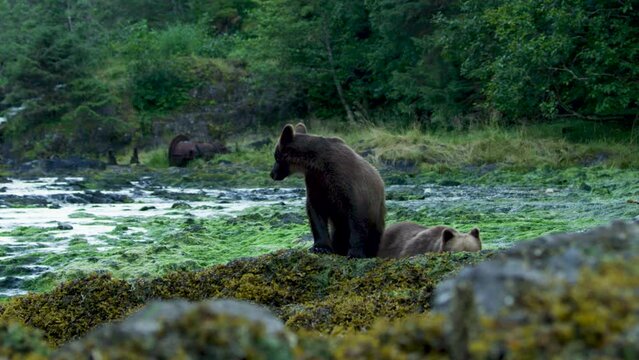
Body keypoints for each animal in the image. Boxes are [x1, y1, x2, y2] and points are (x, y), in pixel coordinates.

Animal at [270, 122, 384, 258]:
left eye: (276, 156)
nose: (272, 174)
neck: (319, 163)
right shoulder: (317, 182)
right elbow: (316, 211)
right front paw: (320, 247)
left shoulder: (349, 184)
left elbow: (357, 216)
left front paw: (355, 253)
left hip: (377, 210)